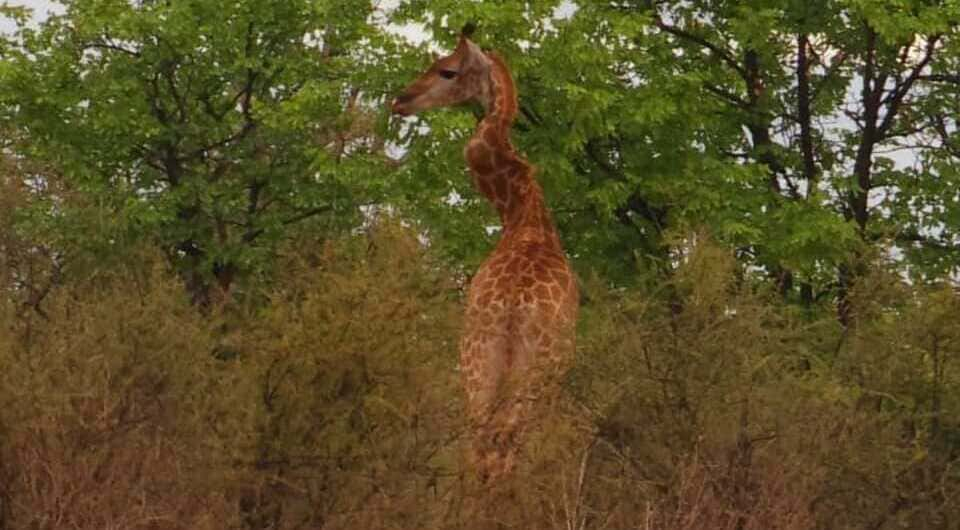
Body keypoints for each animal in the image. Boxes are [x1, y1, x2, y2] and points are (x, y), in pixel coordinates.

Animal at [390, 25, 576, 482]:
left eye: (447, 70)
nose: (399, 100)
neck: (521, 215)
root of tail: (512, 306)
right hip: (532, 373)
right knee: (503, 449)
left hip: (475, 362)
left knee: (480, 447)